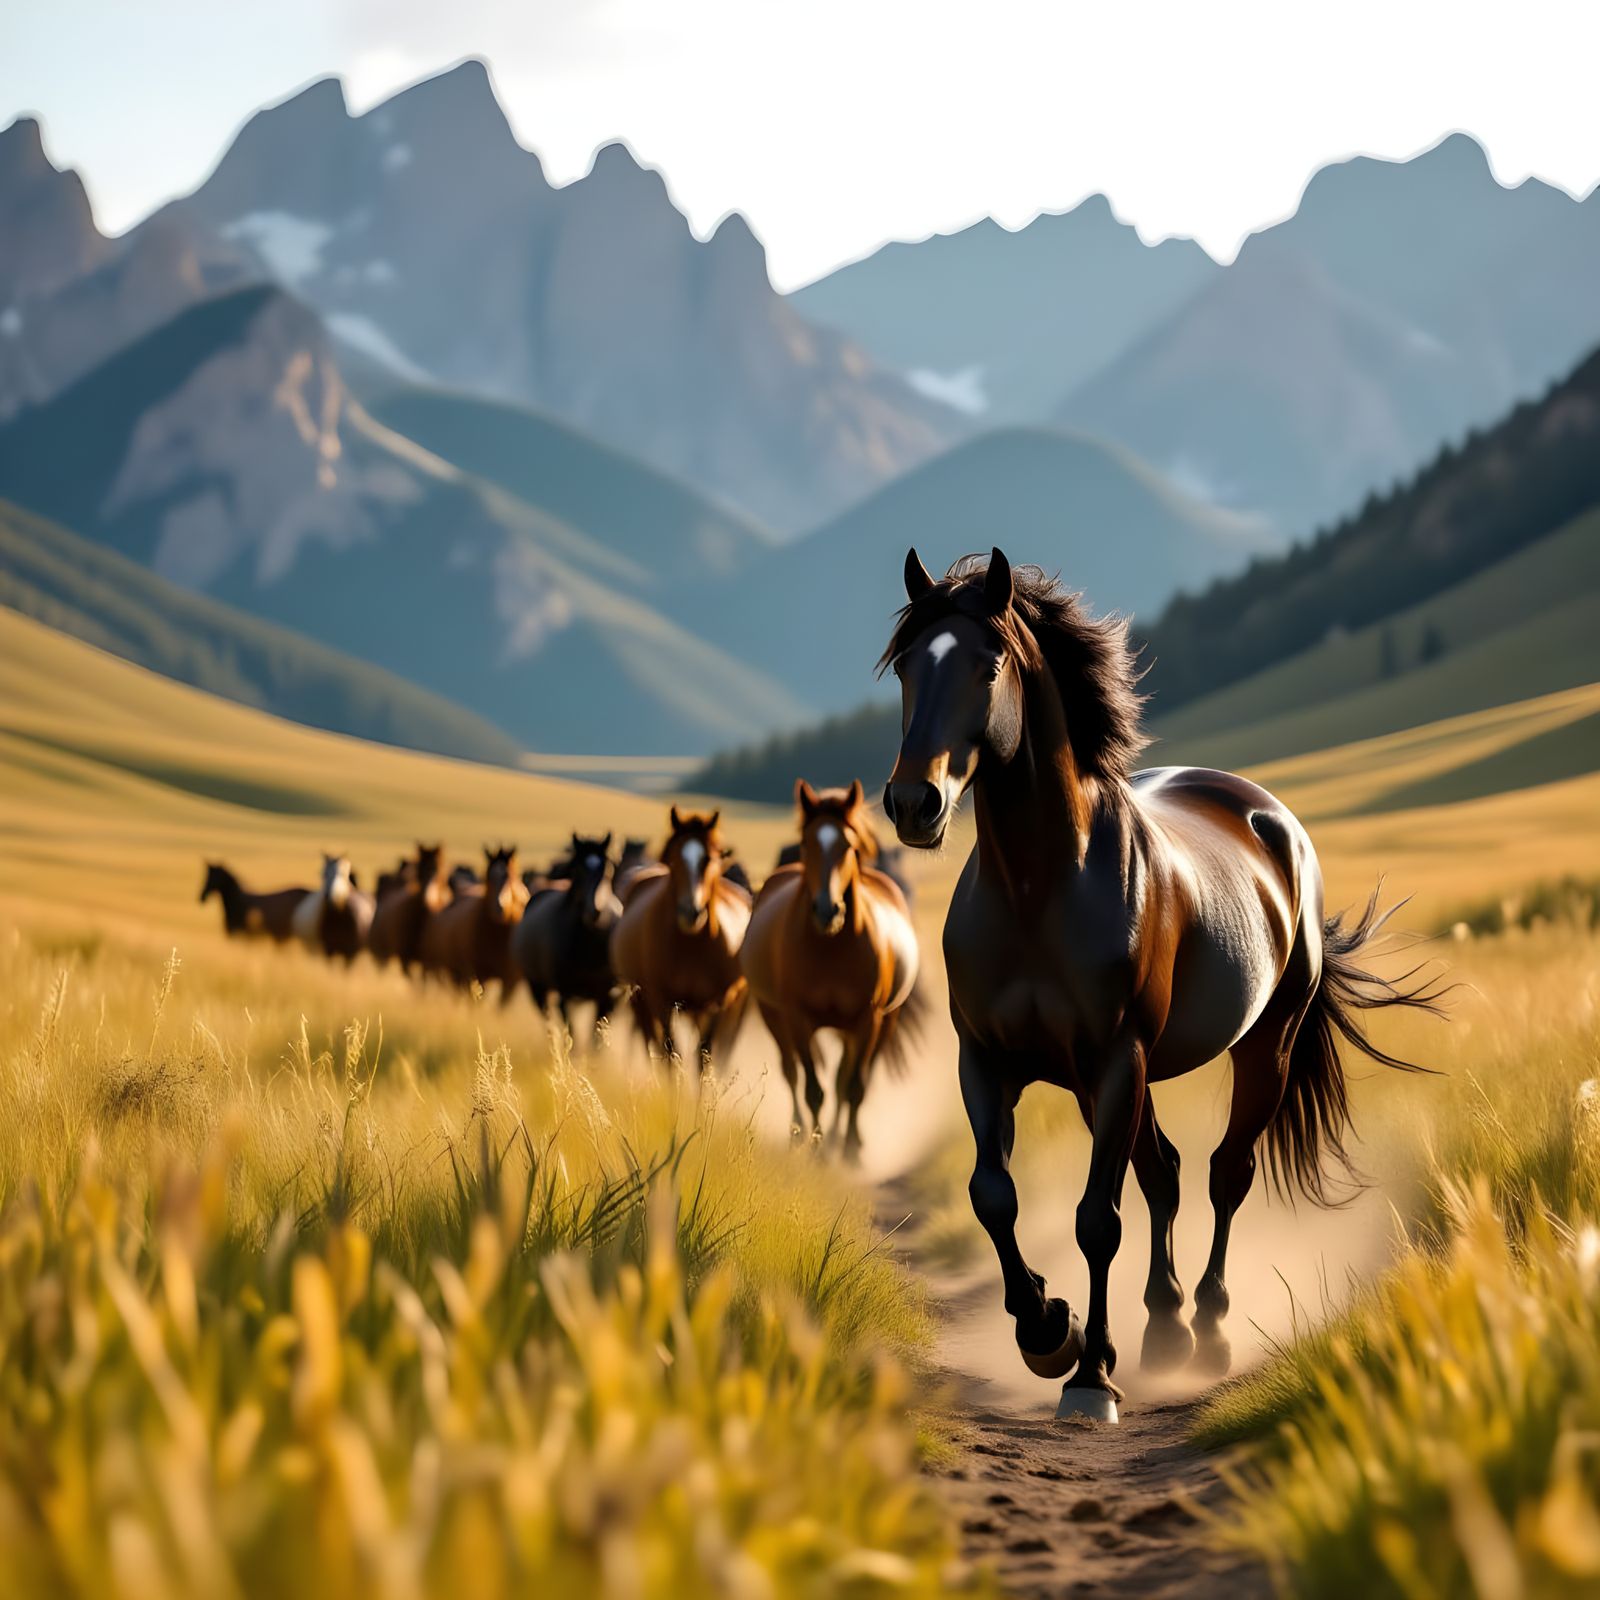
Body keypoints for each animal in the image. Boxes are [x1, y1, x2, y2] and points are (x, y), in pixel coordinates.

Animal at [512, 833, 623, 1044]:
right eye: (577, 869)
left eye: (608, 868)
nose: (595, 911)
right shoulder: (565, 994)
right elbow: (574, 1036)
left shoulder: (606, 996)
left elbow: (595, 1039)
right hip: (537, 988)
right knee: (548, 1022)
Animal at [609, 808, 751, 1069]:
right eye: (673, 860)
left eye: (709, 860)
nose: (690, 912)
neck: (690, 946)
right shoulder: (661, 1000)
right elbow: (670, 1053)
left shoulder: (716, 1005)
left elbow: (704, 1054)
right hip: (640, 999)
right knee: (649, 1042)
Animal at [741, 781, 922, 1160]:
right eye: (806, 843)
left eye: (848, 846)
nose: (828, 910)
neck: (832, 947)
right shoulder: (797, 1019)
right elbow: (813, 1088)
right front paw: (817, 1148)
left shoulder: (868, 1020)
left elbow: (853, 1086)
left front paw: (849, 1147)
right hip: (773, 1015)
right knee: (791, 1072)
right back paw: (798, 1132)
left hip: (882, 1023)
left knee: (845, 1078)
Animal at [880, 548, 1444, 1415]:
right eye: (908, 663)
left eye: (990, 664)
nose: (915, 802)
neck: (1039, 888)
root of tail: (1272, 819)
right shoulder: (989, 1063)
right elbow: (993, 1194)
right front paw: (1048, 1328)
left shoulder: (1118, 1060)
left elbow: (1097, 1220)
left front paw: (1090, 1378)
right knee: (1166, 1175)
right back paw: (1163, 1327)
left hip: (1258, 1052)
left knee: (1223, 1175)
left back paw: (1204, 1331)